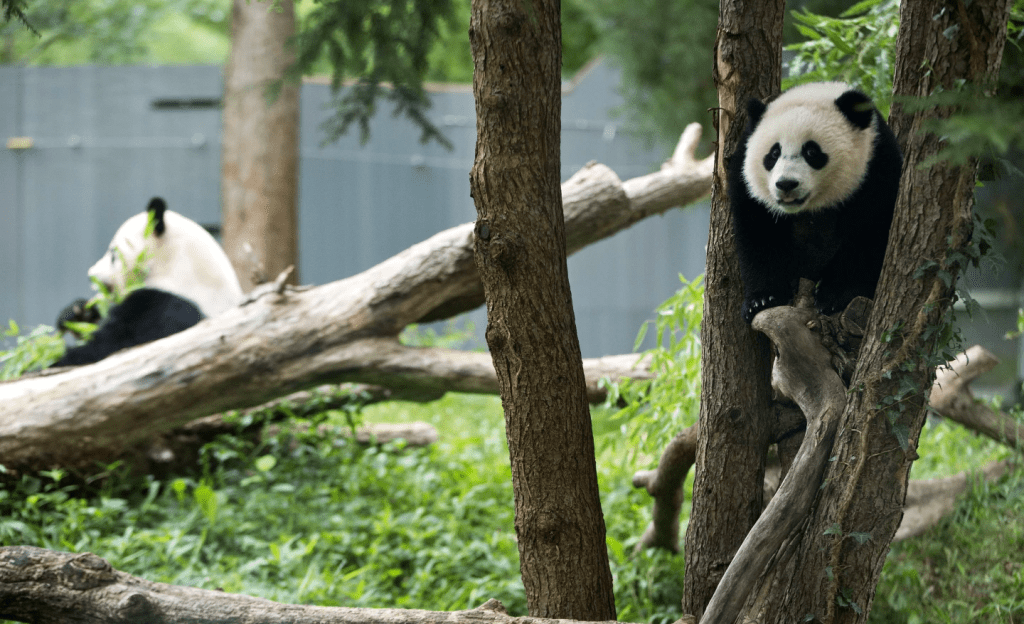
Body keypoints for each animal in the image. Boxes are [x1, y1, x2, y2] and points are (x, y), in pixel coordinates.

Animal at [729, 80, 905, 323]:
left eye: (811, 151)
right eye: (773, 153)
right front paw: (763, 299)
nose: (786, 184)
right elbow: (758, 234)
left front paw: (834, 296)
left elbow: (868, 233)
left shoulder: (876, 168)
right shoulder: (746, 182)